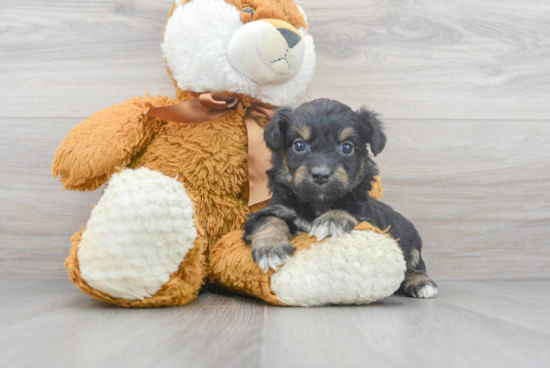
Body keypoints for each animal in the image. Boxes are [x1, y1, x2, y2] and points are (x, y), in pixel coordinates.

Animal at [246, 98, 440, 300]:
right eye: (299, 145)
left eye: (347, 147)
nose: (321, 175)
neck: (319, 203)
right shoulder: (271, 210)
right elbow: (269, 219)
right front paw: (271, 249)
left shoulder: (366, 217)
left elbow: (347, 209)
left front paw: (331, 220)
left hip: (411, 239)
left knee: (413, 263)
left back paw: (421, 283)